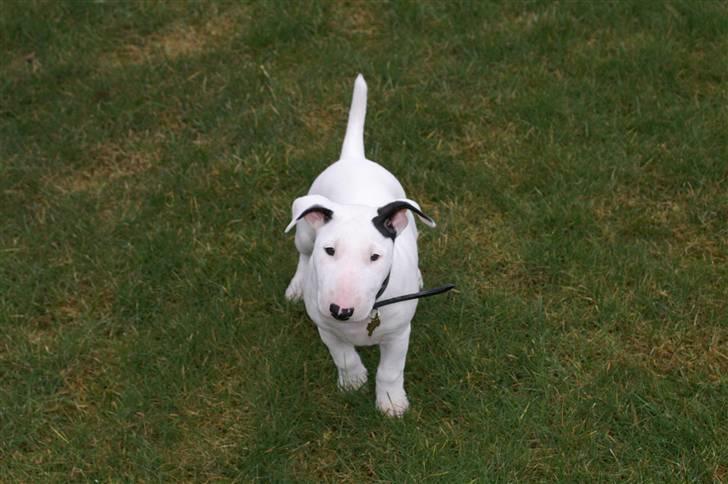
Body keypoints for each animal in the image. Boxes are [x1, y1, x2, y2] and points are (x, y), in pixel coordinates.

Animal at [284, 74, 436, 416]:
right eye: (329, 251)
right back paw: (297, 285)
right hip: (304, 231)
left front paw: (391, 402)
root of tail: (355, 158)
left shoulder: (399, 333)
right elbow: (343, 355)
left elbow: (390, 370)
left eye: (375, 257)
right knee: (302, 254)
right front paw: (353, 382)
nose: (341, 310)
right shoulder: (325, 327)